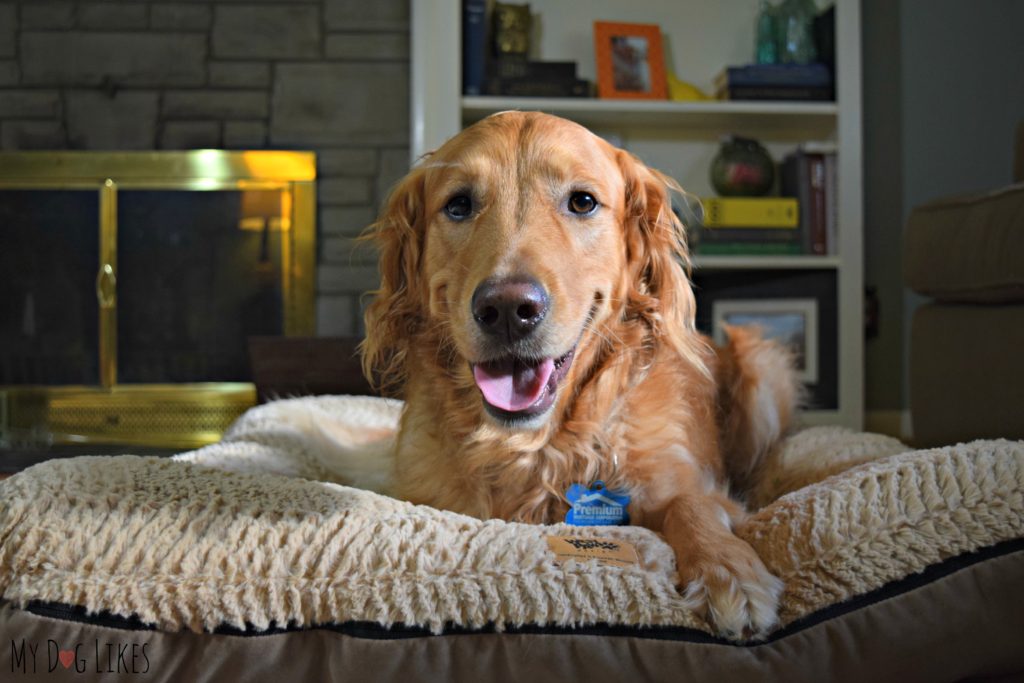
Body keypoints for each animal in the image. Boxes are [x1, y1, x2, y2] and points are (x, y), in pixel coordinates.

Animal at [364, 109, 802, 638]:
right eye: (459, 205)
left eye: (583, 202)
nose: (508, 309)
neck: (536, 446)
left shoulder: (685, 482)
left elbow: (692, 504)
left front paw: (729, 571)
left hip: (762, 366)